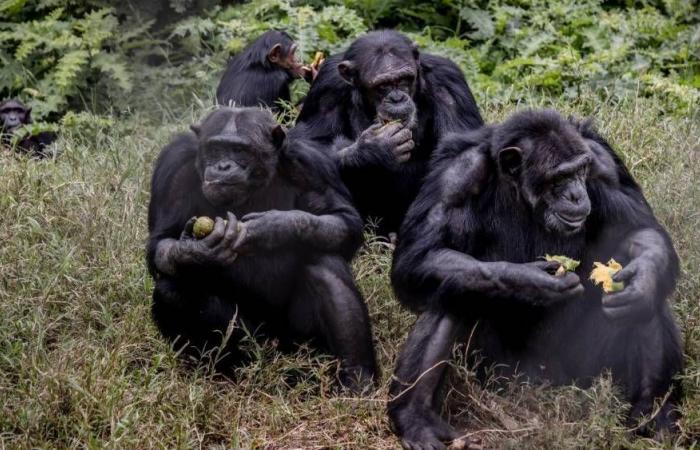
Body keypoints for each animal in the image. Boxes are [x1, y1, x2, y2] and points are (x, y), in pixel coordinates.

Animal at [146, 106, 378, 390]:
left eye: (240, 150)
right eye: (215, 149)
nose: (223, 166)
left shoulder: (312, 163)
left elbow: (344, 219)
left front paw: (273, 227)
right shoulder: (174, 165)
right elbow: (161, 241)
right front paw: (197, 251)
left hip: (301, 348)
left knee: (325, 263)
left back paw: (357, 379)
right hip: (255, 343)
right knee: (173, 289)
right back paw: (222, 377)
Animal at [290, 29, 482, 237]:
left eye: (404, 80)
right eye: (382, 86)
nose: (397, 98)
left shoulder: (449, 82)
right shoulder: (326, 85)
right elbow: (306, 141)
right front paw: (374, 149)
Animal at [388, 110, 684, 450]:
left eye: (581, 170)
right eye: (559, 178)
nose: (576, 194)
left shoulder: (603, 162)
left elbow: (638, 229)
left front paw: (642, 282)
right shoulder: (455, 177)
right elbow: (419, 256)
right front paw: (531, 282)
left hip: (582, 370)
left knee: (645, 303)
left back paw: (655, 416)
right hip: (497, 374)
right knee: (451, 291)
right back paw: (416, 419)